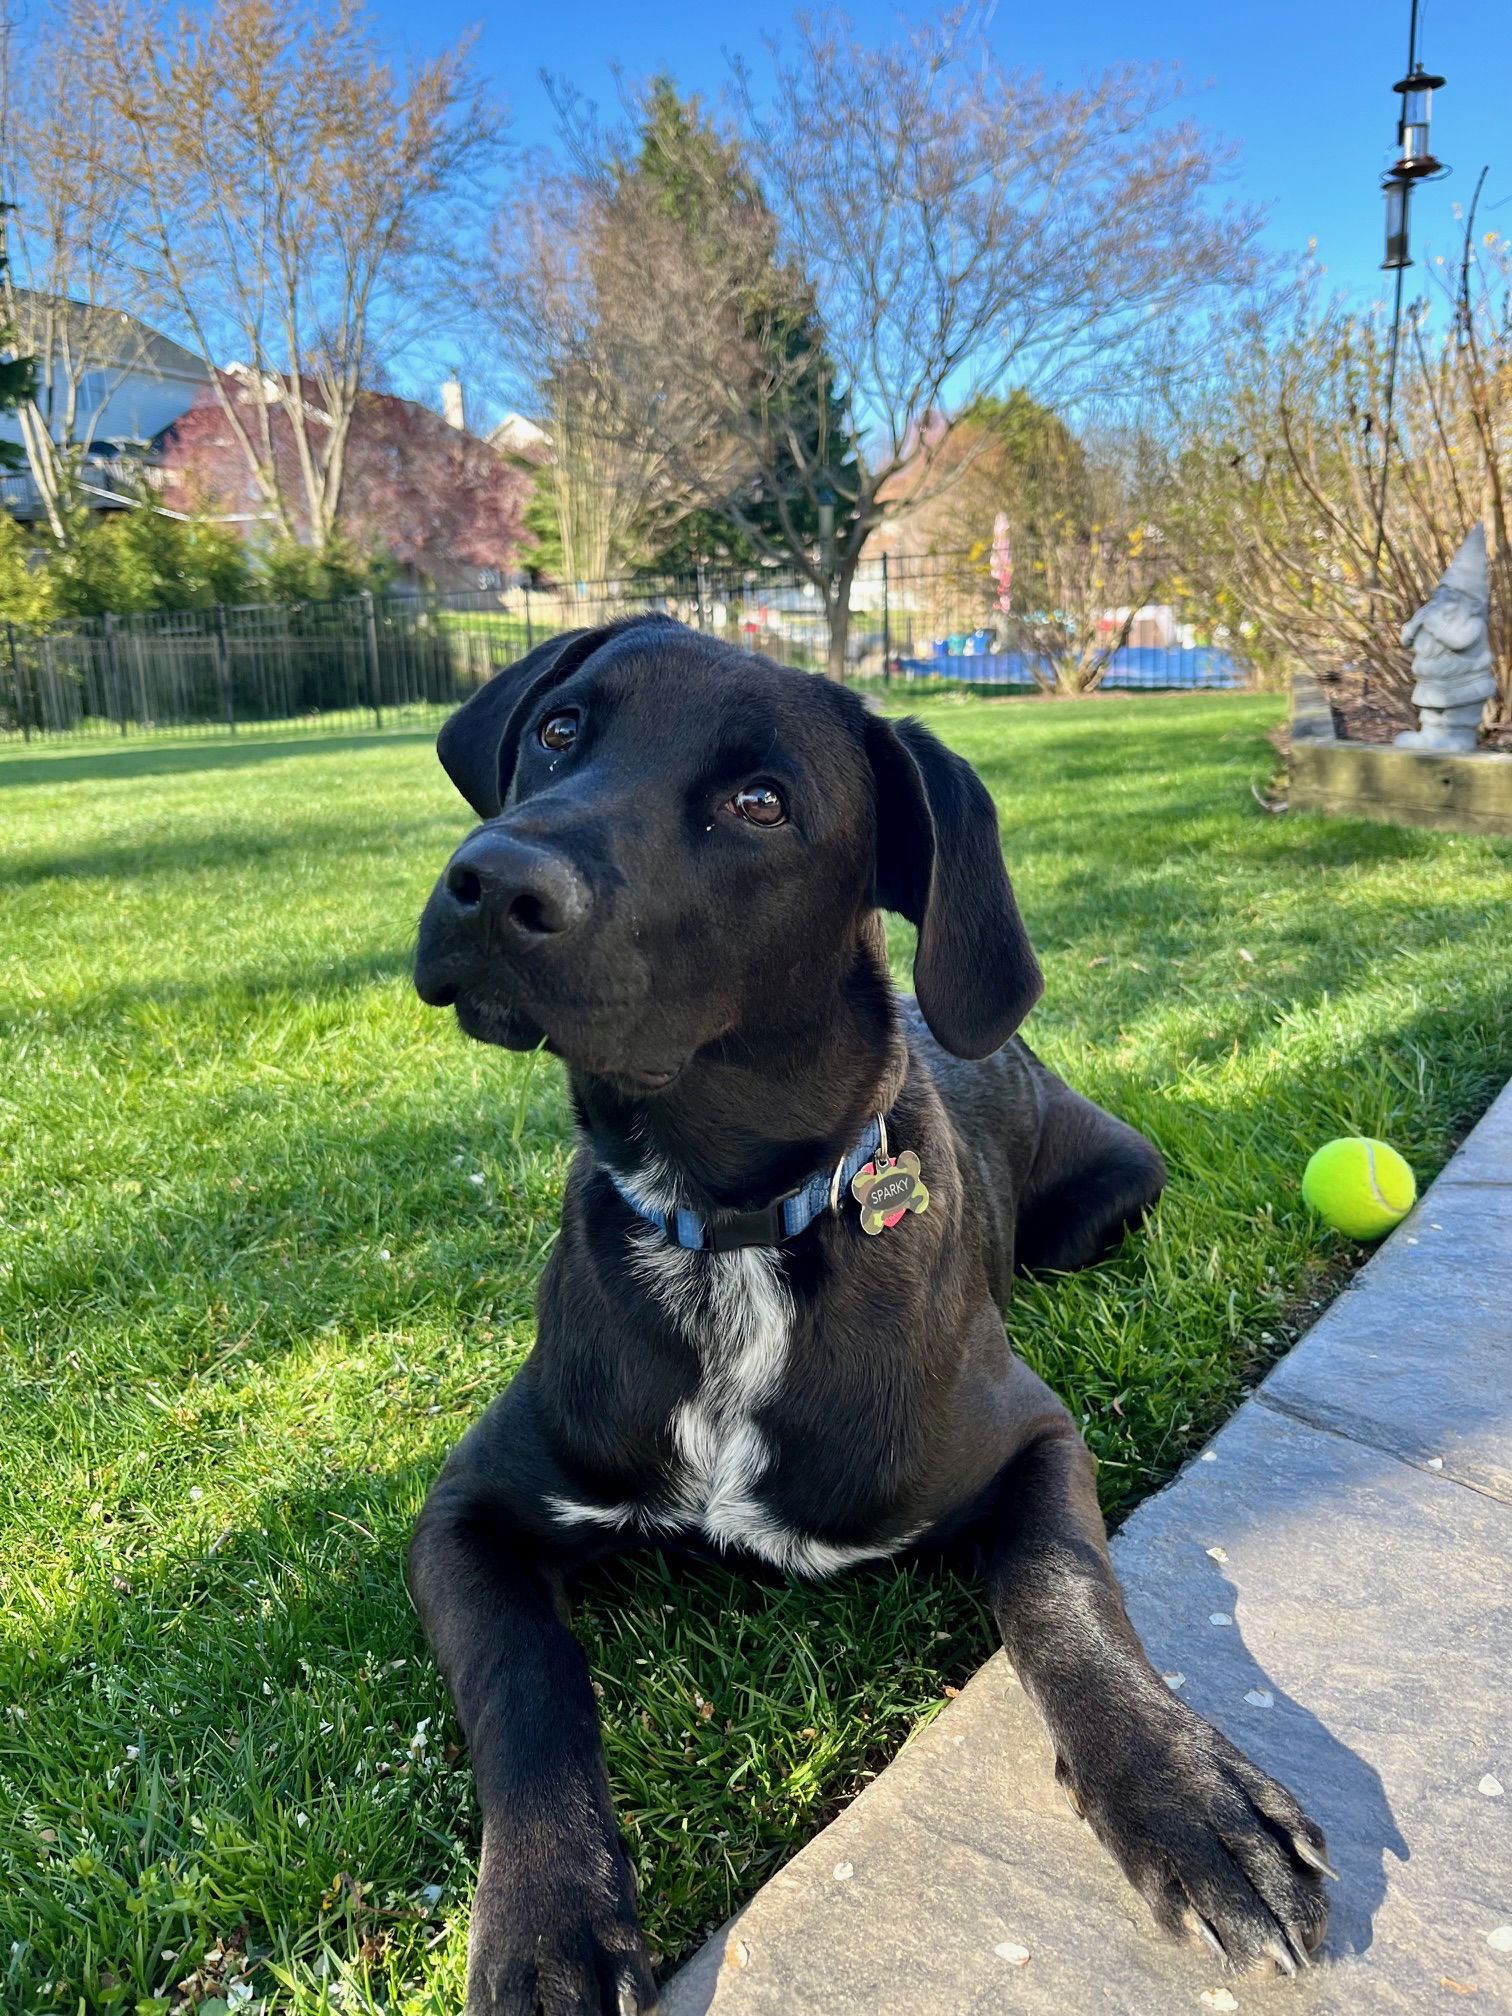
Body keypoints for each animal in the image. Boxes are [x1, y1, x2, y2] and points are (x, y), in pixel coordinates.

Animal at [409, 620, 1330, 2007]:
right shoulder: (464, 1510)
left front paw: (1190, 1799)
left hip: (1111, 1198)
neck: (730, 1228)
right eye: (562, 729)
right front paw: (549, 1923)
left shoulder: (1034, 1438)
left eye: (762, 802)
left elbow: (1067, 1600)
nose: (489, 881)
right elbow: (530, 1687)